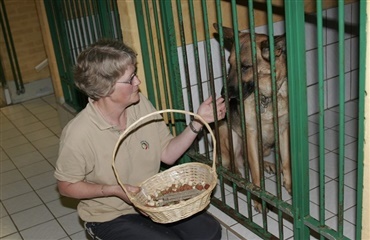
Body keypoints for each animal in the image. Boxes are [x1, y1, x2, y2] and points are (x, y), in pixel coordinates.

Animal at [215, 24, 290, 212]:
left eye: (245, 67)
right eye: (230, 64)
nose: (223, 94)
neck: (266, 97)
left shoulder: (283, 130)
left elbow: (286, 162)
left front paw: (290, 185)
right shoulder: (250, 133)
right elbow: (255, 173)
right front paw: (258, 199)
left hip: (266, 147)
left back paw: (270, 165)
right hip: (229, 133)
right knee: (232, 162)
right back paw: (237, 175)